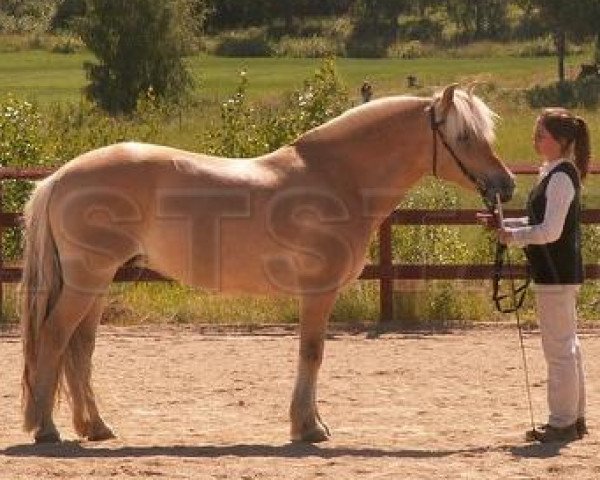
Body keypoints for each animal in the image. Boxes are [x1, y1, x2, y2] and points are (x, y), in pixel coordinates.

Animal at [19, 83, 516, 442]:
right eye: (464, 137)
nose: (506, 184)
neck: (338, 179)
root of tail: (59, 178)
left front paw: (311, 423)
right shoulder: (318, 291)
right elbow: (312, 352)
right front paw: (308, 428)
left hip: (97, 283)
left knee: (80, 348)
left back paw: (96, 427)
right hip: (87, 280)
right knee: (55, 337)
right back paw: (46, 429)